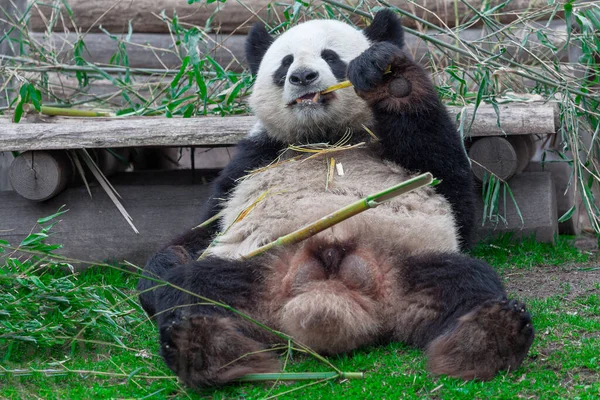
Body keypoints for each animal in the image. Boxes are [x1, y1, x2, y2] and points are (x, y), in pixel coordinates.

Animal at [139, 10, 536, 388]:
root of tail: (329, 295)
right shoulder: (253, 158)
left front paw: (392, 81)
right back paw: (203, 345)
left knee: (467, 282)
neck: (325, 140)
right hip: (249, 276)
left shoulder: (405, 154)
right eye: (284, 63)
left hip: (412, 269)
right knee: (192, 289)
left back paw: (488, 336)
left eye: (331, 57)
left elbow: (454, 194)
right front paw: (166, 262)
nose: (302, 76)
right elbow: (205, 228)